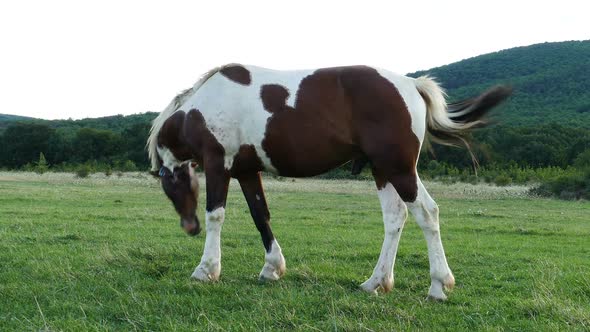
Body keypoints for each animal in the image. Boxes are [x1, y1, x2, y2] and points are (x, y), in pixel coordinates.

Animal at [146, 63, 512, 300]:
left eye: (171, 185)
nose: (189, 227)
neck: (204, 105)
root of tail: (412, 84)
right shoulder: (247, 171)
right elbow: (260, 215)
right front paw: (272, 268)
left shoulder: (218, 164)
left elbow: (216, 215)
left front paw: (206, 269)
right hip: (383, 171)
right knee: (396, 218)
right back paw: (376, 282)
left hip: (399, 169)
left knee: (426, 213)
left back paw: (438, 285)